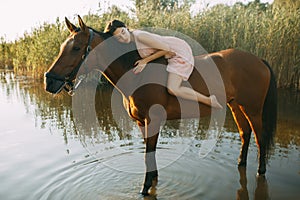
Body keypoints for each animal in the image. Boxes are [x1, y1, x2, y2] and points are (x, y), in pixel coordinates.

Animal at [44, 16, 276, 196]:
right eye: (62, 47)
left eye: (76, 48)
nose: (49, 81)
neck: (136, 74)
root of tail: (259, 60)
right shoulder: (141, 122)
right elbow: (149, 154)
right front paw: (152, 180)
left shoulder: (153, 120)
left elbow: (149, 152)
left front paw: (145, 188)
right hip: (236, 105)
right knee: (245, 133)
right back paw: (240, 163)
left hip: (253, 108)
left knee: (259, 136)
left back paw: (261, 170)